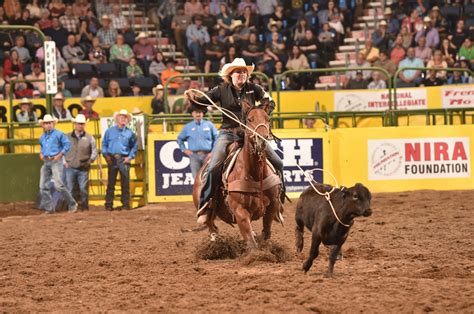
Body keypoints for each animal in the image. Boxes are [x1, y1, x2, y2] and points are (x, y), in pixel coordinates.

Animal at [192, 99, 284, 249]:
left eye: (268, 119)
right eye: (250, 119)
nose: (261, 140)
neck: (255, 175)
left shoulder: (272, 206)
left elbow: (266, 233)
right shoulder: (240, 212)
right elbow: (251, 244)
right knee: (211, 226)